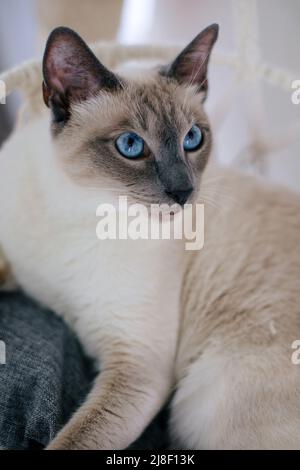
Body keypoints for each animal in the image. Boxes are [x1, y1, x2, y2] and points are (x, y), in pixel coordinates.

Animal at [0, 23, 300, 450]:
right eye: (131, 145)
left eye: (192, 139)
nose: (184, 192)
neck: (80, 207)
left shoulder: (137, 369)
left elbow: (72, 441)